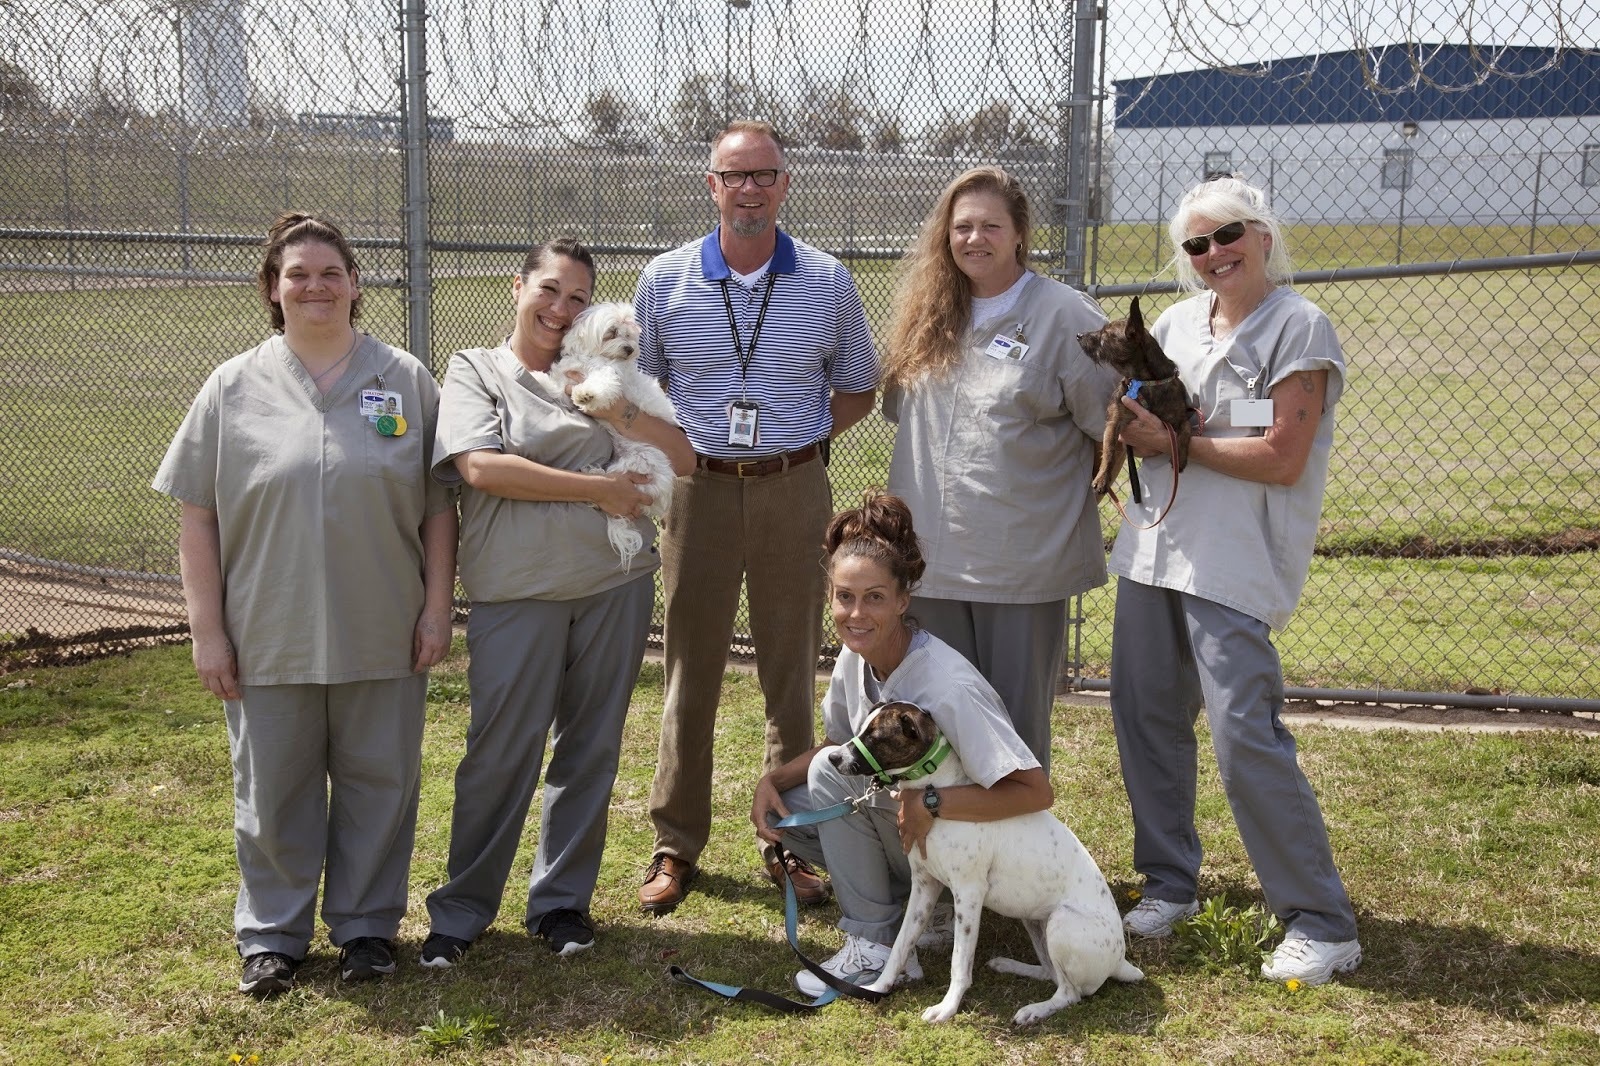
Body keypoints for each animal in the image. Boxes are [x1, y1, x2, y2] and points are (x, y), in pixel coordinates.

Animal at [838, 697, 1152, 1024]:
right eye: (861, 729)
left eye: (875, 736)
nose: (834, 757)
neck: (939, 792)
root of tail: (1120, 960)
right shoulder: (925, 886)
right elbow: (900, 944)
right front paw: (878, 987)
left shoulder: (968, 894)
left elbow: (959, 962)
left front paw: (947, 1007)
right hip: (1034, 922)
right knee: (1051, 972)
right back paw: (1010, 965)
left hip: (1061, 923)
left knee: (1070, 993)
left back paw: (1034, 1010)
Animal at [1075, 294, 1190, 499]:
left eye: (1104, 335)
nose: (1079, 335)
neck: (1144, 383)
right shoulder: (1114, 423)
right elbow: (1109, 451)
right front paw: (1102, 478)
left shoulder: (1181, 417)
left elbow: (1186, 430)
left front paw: (1181, 457)